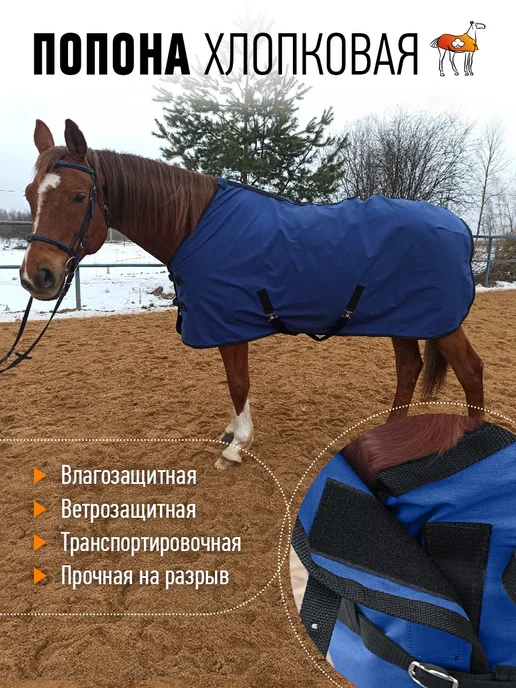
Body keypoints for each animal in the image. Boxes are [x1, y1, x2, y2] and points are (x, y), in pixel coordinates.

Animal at [19, 119, 485, 469]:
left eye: (79, 196)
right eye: (28, 194)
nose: (36, 277)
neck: (195, 226)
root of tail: (460, 226)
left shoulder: (229, 321)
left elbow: (238, 382)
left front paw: (237, 445)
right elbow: (234, 384)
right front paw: (231, 434)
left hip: (439, 321)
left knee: (469, 371)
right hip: (404, 317)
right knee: (409, 368)